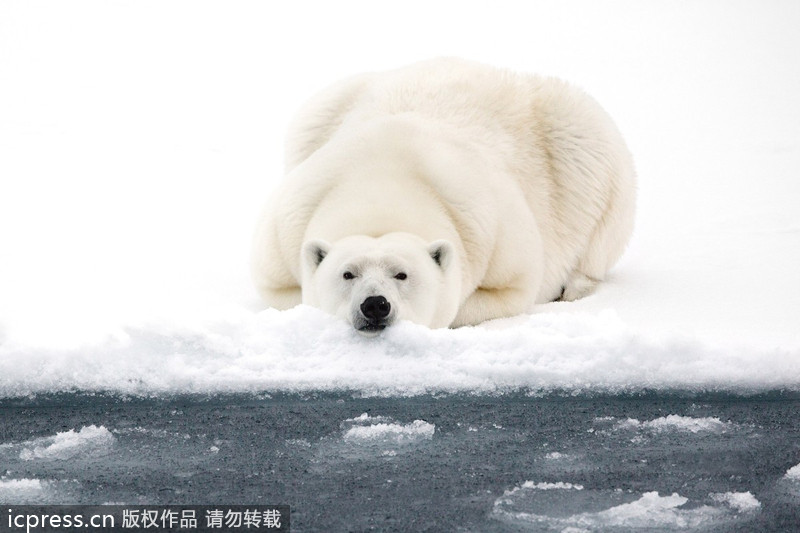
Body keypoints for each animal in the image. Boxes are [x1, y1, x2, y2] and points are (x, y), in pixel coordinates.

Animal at [252, 57, 636, 332]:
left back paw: (573, 285)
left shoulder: (494, 234)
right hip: (321, 111)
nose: (375, 304)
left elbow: (503, 292)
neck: (383, 181)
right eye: (348, 274)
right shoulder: (286, 230)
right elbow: (285, 295)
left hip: (580, 141)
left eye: (402, 274)